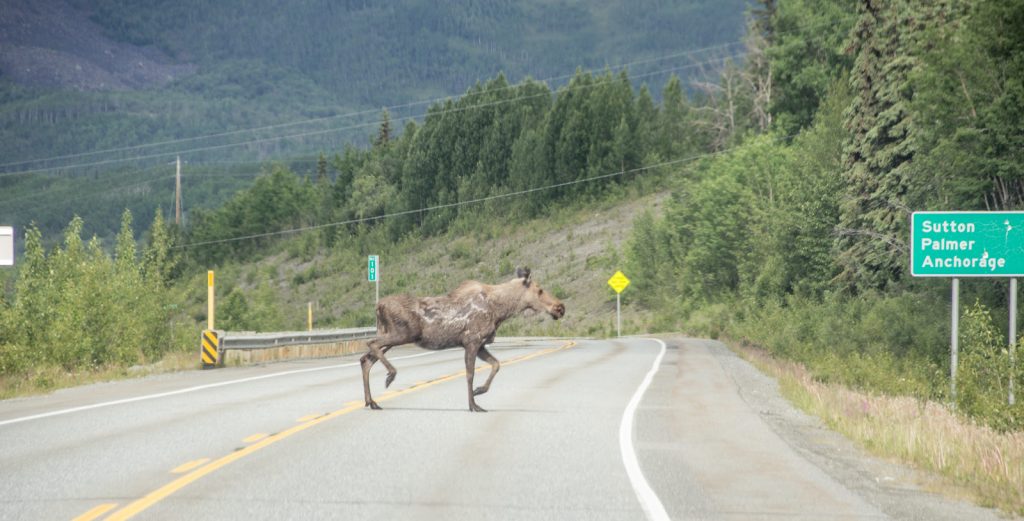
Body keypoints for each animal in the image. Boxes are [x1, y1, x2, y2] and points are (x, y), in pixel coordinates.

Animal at [362, 268, 569, 409]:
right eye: (540, 290)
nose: (560, 307)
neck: (500, 311)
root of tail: (378, 306)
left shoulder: (481, 344)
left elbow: (496, 364)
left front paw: (480, 391)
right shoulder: (472, 341)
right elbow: (470, 374)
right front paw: (473, 405)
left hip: (390, 334)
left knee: (366, 359)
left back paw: (371, 401)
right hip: (402, 334)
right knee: (371, 344)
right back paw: (390, 376)